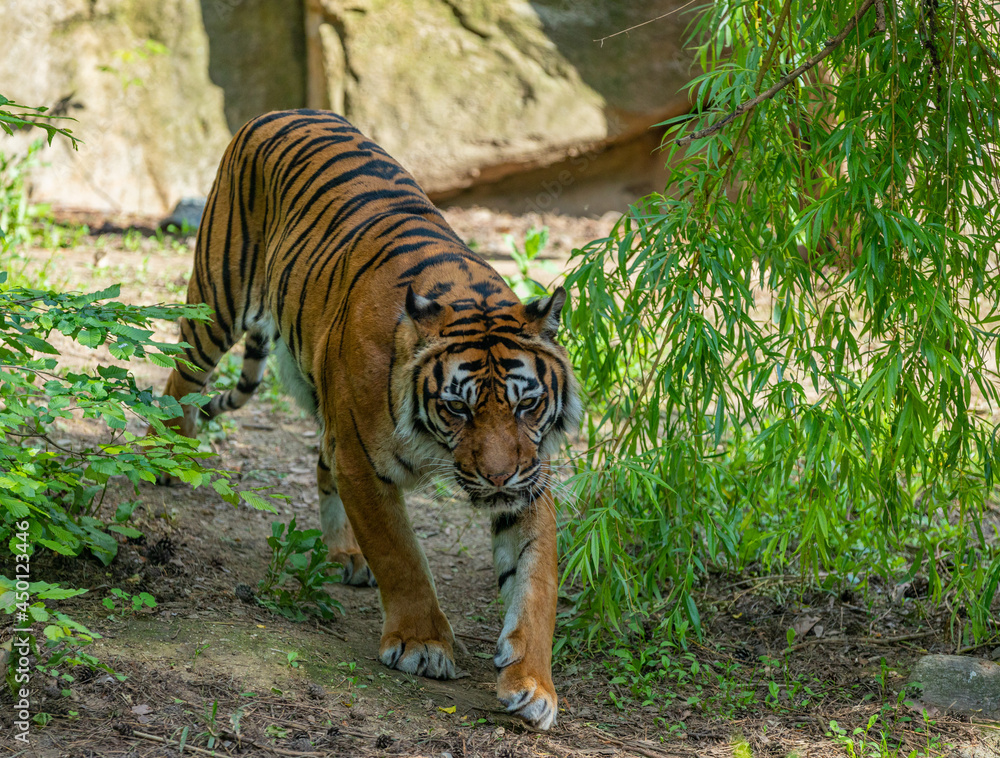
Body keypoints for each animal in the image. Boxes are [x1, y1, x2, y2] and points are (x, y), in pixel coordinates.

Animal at [159, 110, 581, 730]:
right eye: (458, 408)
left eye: (526, 405)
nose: (499, 478)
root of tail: (281, 111)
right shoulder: (363, 463)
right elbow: (401, 555)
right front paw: (423, 646)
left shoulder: (531, 480)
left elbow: (537, 581)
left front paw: (532, 684)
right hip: (217, 298)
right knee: (179, 380)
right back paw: (166, 458)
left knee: (318, 462)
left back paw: (344, 555)